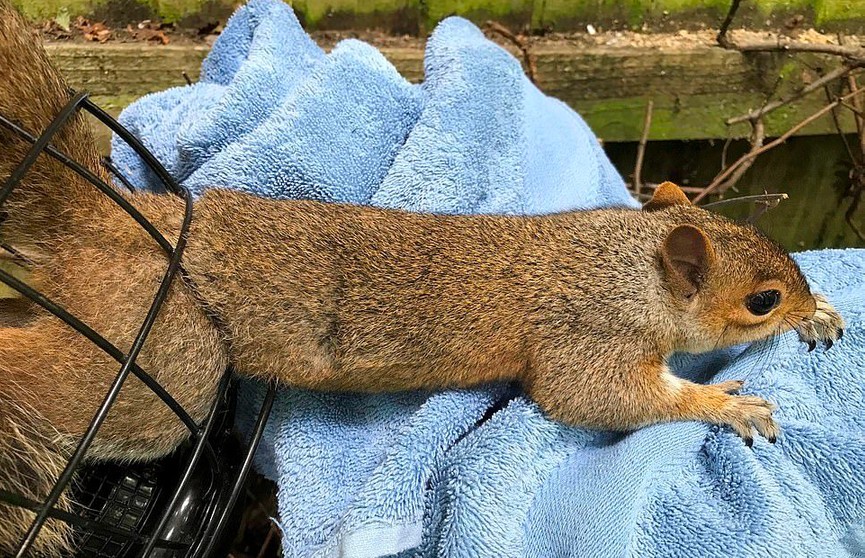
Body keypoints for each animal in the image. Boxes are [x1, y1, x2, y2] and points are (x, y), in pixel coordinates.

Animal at [0, 2, 845, 554]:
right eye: (759, 299)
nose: (795, 300)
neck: (627, 263)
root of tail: (129, 221)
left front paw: (821, 314)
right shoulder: (586, 340)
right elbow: (598, 398)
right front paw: (723, 404)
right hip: (159, 364)